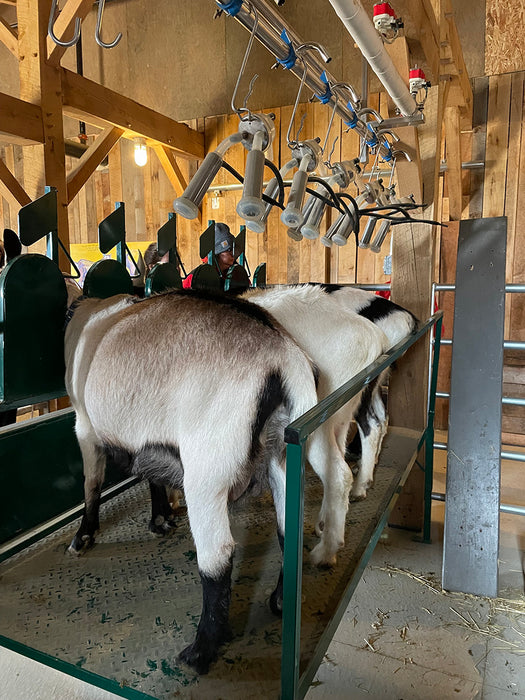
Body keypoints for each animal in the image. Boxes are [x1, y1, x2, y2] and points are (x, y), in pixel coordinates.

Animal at [64, 288, 347, 673]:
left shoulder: (85, 428)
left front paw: (83, 537)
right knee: (288, 529)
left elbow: (91, 483)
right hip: (281, 458)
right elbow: (152, 477)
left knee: (218, 556)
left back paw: (200, 652)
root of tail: (284, 358)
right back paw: (278, 601)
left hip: (206, 473)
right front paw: (159, 519)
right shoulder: (147, 440)